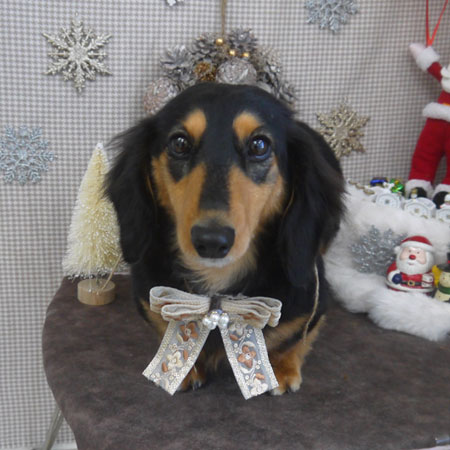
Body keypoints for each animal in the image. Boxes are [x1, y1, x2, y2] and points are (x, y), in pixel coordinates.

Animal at [106, 83, 344, 395]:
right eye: (179, 143)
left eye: (259, 145)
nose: (211, 240)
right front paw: (182, 365)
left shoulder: (313, 301)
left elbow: (295, 338)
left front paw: (281, 367)